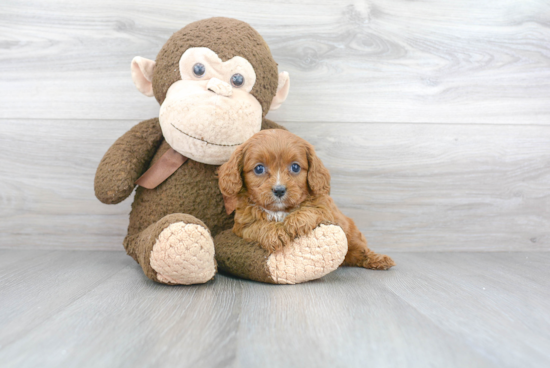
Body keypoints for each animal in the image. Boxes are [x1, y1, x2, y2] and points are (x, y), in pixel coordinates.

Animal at [219, 129, 396, 270]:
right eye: (259, 169)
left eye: (295, 167)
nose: (279, 190)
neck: (280, 210)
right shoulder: (242, 225)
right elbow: (258, 226)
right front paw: (275, 234)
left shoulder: (326, 211)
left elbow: (310, 211)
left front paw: (293, 222)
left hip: (352, 235)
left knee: (360, 250)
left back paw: (379, 259)